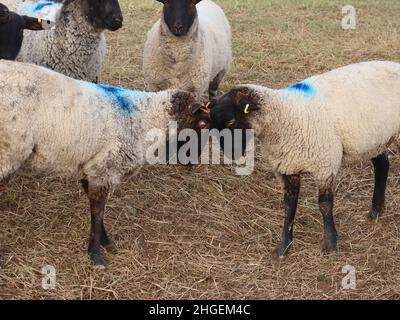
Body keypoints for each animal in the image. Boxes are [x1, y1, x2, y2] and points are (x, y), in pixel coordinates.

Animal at [0, 59, 211, 268]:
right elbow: (97, 212)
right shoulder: (105, 170)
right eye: (202, 124)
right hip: (8, 153)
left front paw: (105, 241)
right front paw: (96, 256)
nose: (194, 162)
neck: (144, 118)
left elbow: (97, 210)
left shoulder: (93, 168)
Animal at [209, 61, 400, 258]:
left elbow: (325, 205)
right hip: (374, 138)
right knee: (382, 165)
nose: (230, 155)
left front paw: (331, 243)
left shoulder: (325, 166)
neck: (285, 115)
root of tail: (395, 64)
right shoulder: (286, 168)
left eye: (231, 122)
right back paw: (376, 211)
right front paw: (284, 246)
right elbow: (289, 206)